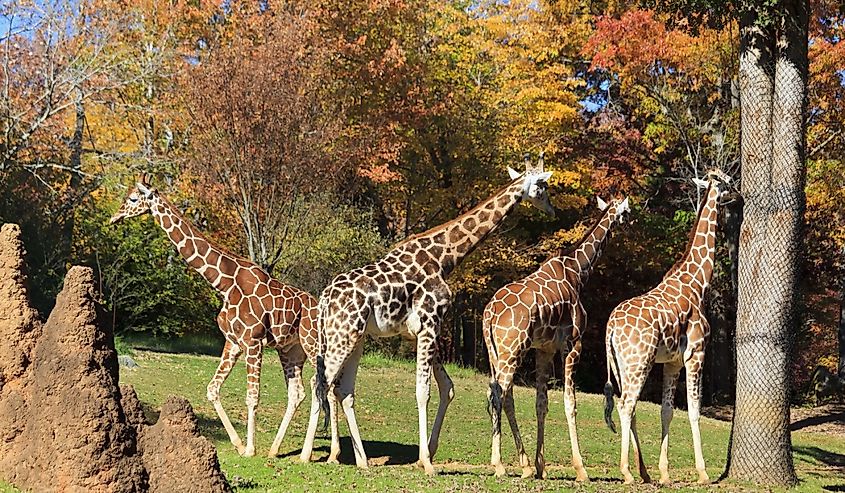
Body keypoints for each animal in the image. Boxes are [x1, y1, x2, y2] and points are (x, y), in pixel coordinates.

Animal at [109, 174, 326, 458]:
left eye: (134, 198)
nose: (114, 216)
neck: (223, 284)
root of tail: (318, 307)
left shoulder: (253, 342)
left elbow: (252, 397)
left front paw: (249, 449)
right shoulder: (233, 342)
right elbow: (212, 389)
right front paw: (238, 443)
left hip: (312, 344)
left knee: (320, 386)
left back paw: (308, 454)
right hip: (290, 349)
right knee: (298, 392)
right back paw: (276, 449)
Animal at [300, 154, 556, 472]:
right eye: (543, 185)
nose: (552, 210)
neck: (444, 257)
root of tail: (324, 299)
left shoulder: (420, 331)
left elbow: (447, 387)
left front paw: (430, 453)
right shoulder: (430, 324)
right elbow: (424, 391)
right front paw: (427, 461)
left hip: (354, 338)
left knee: (342, 389)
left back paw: (362, 460)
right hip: (342, 336)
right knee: (319, 382)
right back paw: (306, 454)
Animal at [484, 194, 628, 478]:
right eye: (626, 211)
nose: (628, 222)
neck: (578, 272)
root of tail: (490, 314)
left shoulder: (544, 349)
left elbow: (541, 403)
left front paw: (541, 466)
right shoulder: (573, 344)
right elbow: (570, 402)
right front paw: (580, 469)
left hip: (496, 352)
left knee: (502, 395)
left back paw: (524, 465)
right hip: (512, 350)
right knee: (499, 395)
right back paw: (500, 465)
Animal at [600, 170, 732, 484]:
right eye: (725, 182)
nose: (736, 191)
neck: (697, 283)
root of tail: (610, 327)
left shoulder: (671, 362)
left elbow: (667, 411)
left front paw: (664, 473)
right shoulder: (696, 354)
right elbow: (694, 411)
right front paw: (703, 473)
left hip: (623, 365)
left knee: (629, 405)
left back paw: (644, 472)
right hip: (639, 361)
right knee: (625, 405)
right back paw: (627, 472)